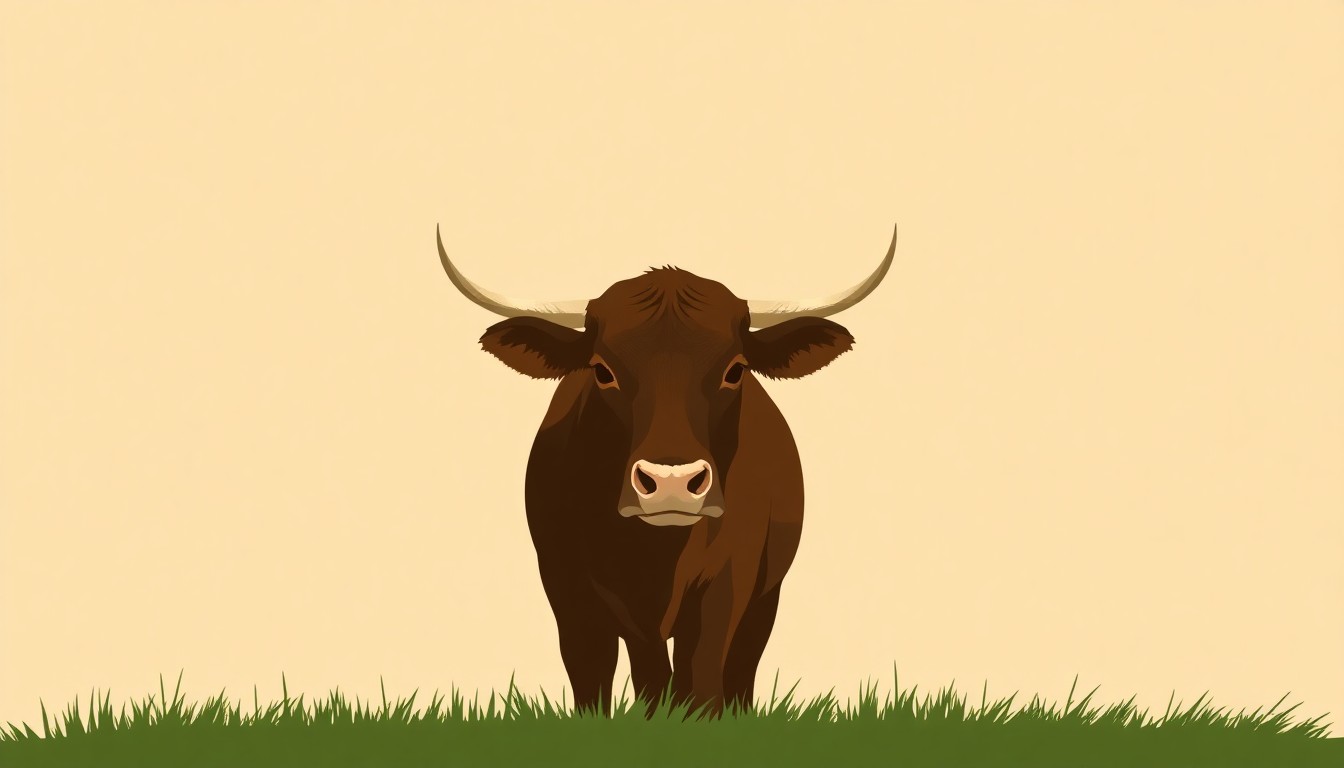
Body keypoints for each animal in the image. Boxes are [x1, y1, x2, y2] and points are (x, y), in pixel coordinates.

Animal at [435, 223, 897, 717]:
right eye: (602, 371)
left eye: (735, 370)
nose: (670, 484)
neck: (655, 555)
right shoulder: (566, 587)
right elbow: (598, 672)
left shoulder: (729, 584)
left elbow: (703, 672)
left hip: (766, 595)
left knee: (742, 662)